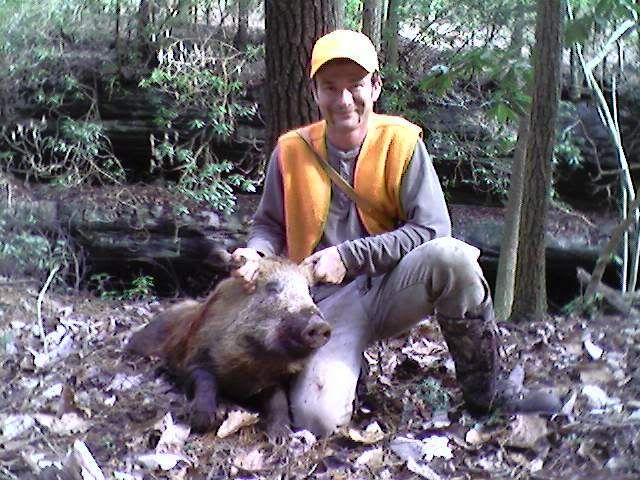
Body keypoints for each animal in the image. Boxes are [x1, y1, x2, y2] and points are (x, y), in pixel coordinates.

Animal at [125, 254, 331, 437]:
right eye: (272, 288)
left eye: (308, 292)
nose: (320, 325)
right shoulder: (194, 355)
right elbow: (203, 378)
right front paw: (204, 420)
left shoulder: (275, 379)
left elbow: (278, 399)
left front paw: (281, 436)